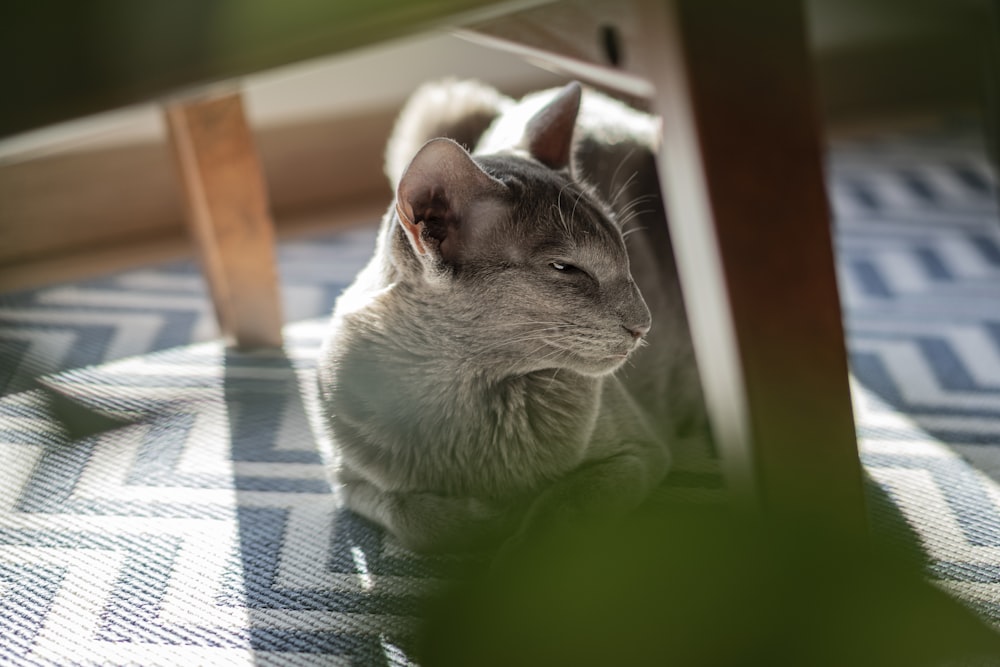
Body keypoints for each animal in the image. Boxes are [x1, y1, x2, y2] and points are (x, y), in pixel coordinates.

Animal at [318, 81, 704, 556]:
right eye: (565, 268)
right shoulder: (348, 483)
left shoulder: (638, 453)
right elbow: (416, 519)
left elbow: (562, 507)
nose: (643, 324)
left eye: (623, 254)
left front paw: (513, 544)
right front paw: (489, 519)